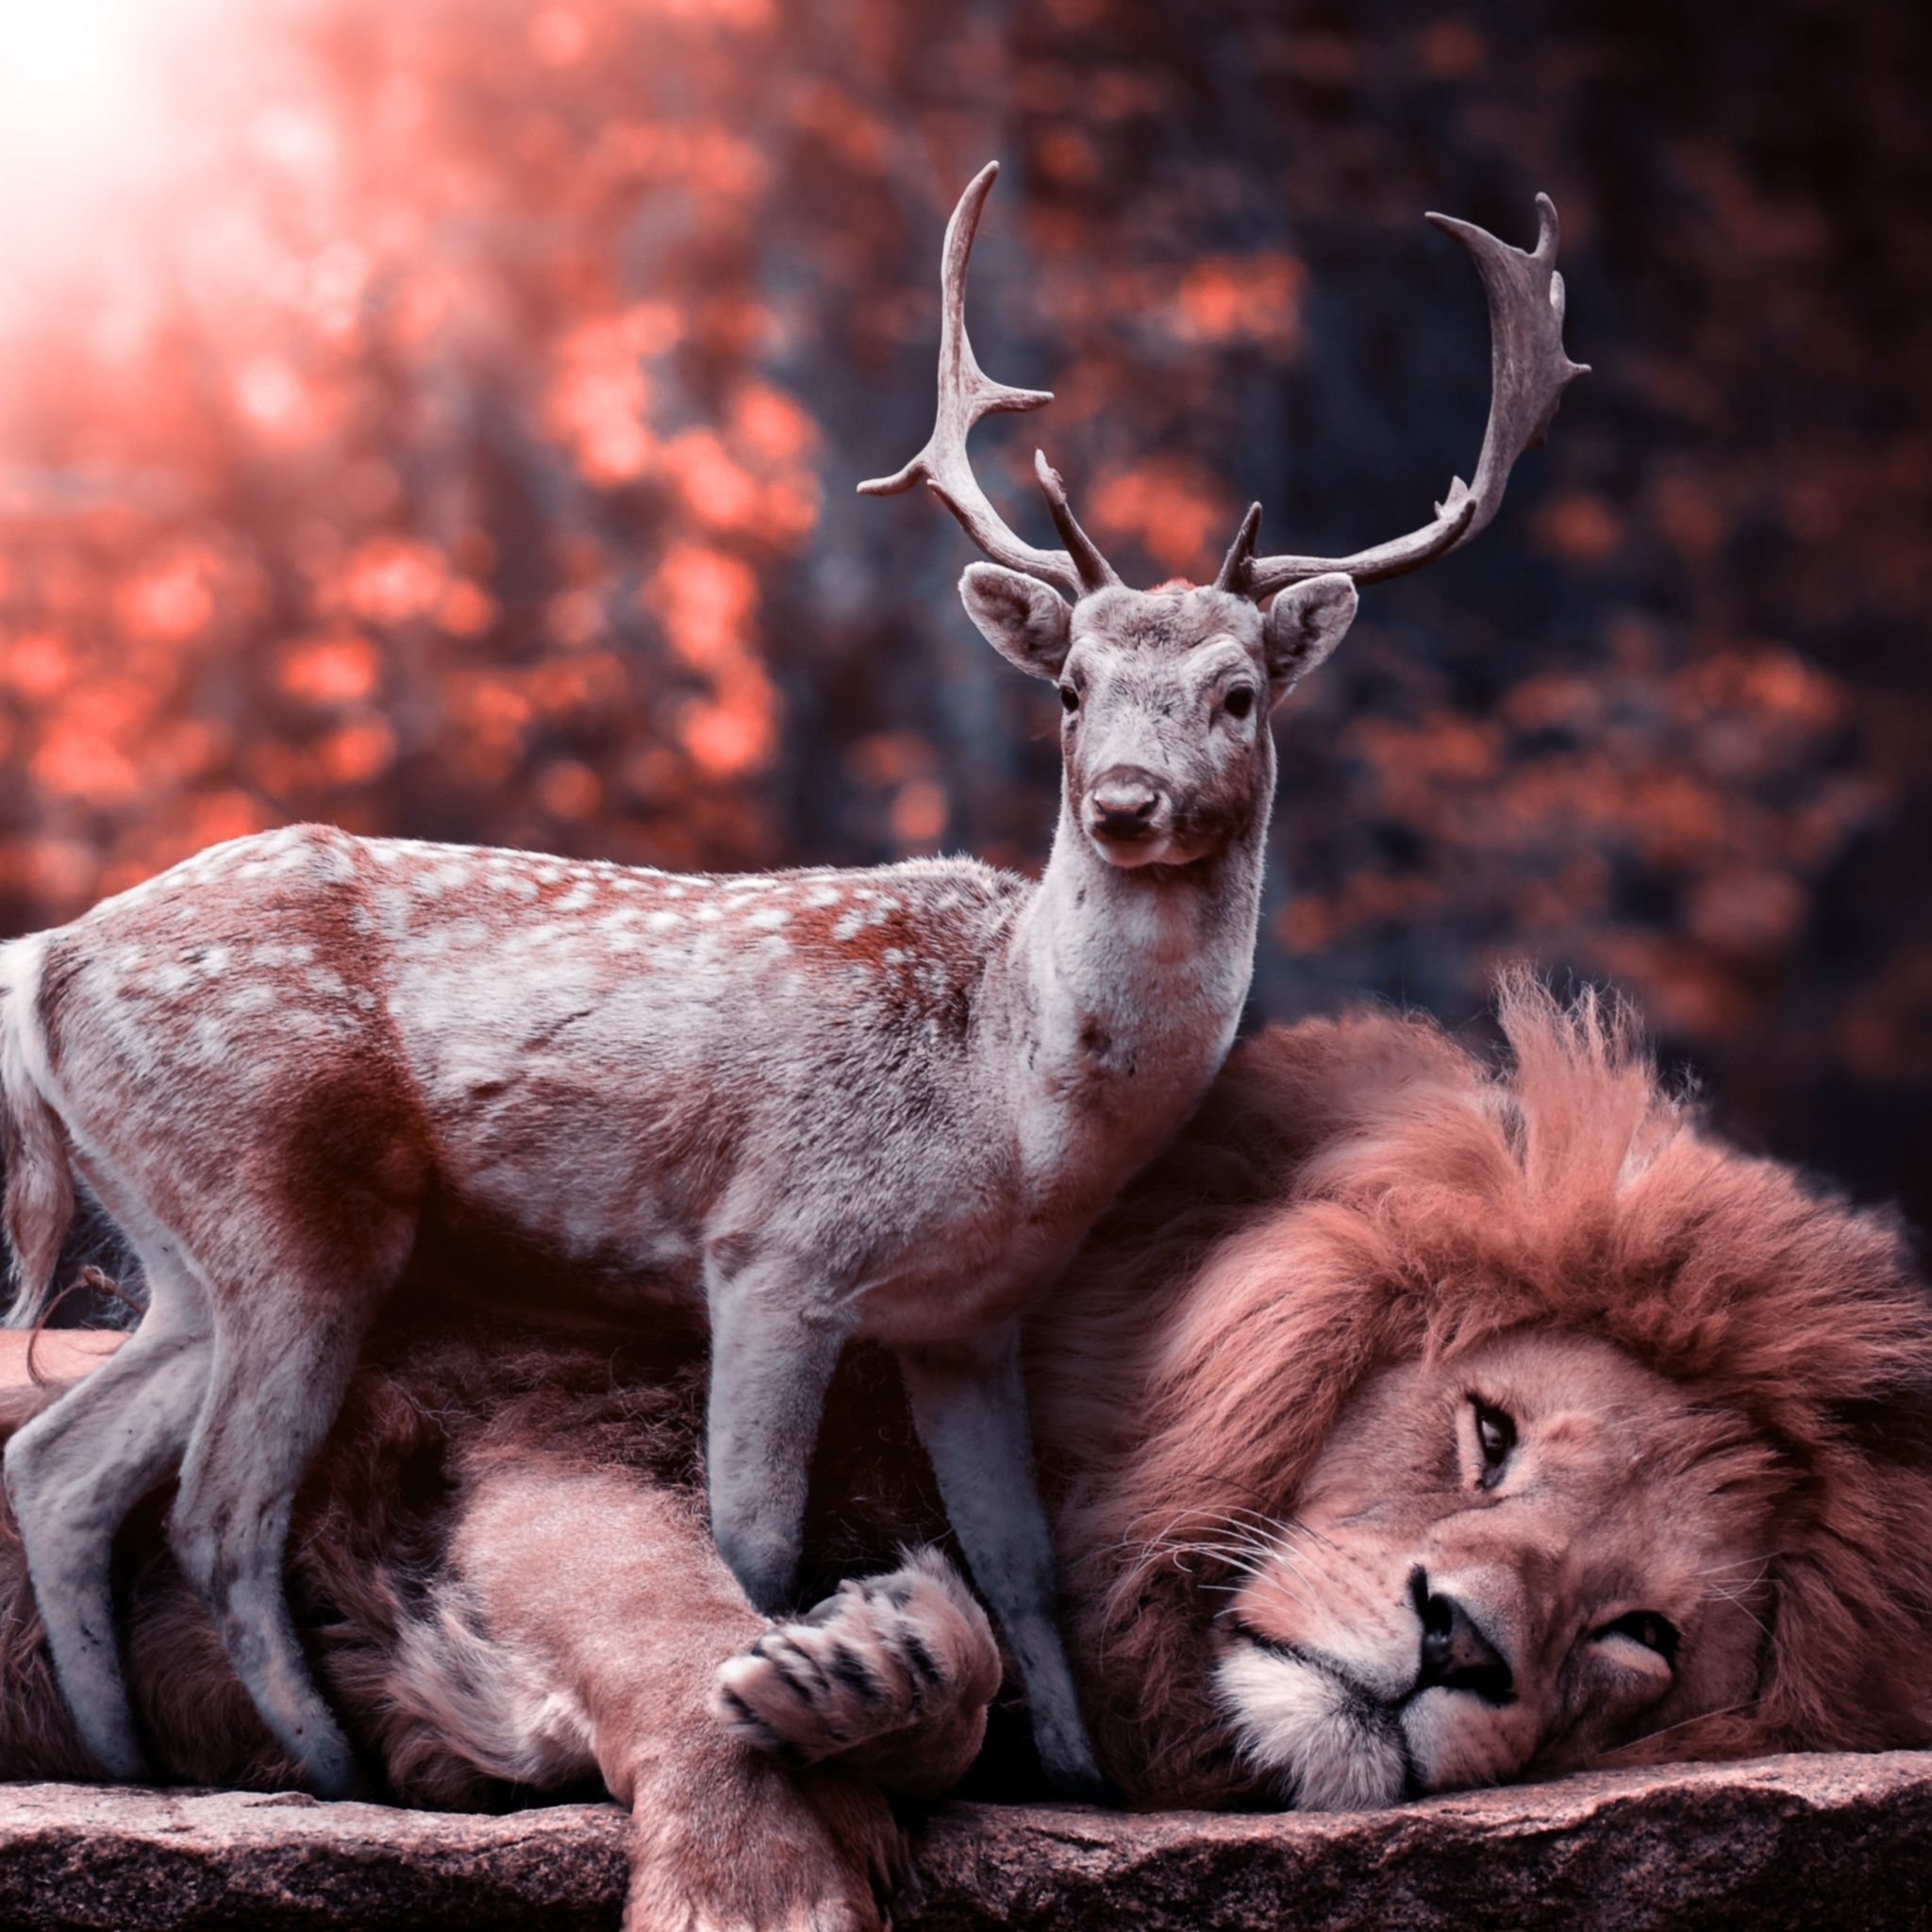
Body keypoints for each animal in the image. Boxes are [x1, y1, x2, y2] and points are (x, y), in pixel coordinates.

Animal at [0, 162, 1583, 1807]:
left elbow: (1021, 1560)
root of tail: (43, 958)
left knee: (59, 1465)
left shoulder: (969, 1316)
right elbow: (753, 1538)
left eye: (1240, 693)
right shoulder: (772, 1244)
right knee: (216, 1509)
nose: (1127, 803)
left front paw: (1075, 1775)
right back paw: (332, 1767)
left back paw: (125, 1756)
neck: (1014, 1106)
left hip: (187, 1244)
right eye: (1069, 688)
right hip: (286, 1201)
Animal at [1, 978, 1928, 1928]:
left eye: (1638, 1639)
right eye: (1489, 1433)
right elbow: (667, 1631)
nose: (1459, 1643)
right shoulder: (528, 1416)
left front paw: (888, 1659)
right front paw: (763, 1886)